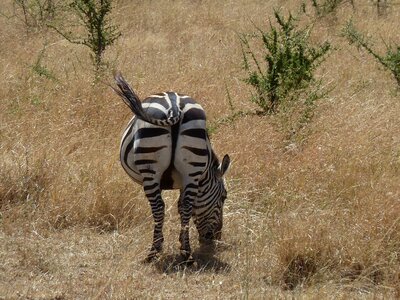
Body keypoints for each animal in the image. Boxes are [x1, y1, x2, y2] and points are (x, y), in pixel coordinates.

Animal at [113, 72, 231, 260]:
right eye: (224, 197)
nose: (215, 238)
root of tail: (174, 107)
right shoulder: (189, 180)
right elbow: (182, 206)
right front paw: (182, 242)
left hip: (150, 168)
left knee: (158, 207)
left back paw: (154, 251)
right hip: (191, 166)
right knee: (186, 206)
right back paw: (186, 253)